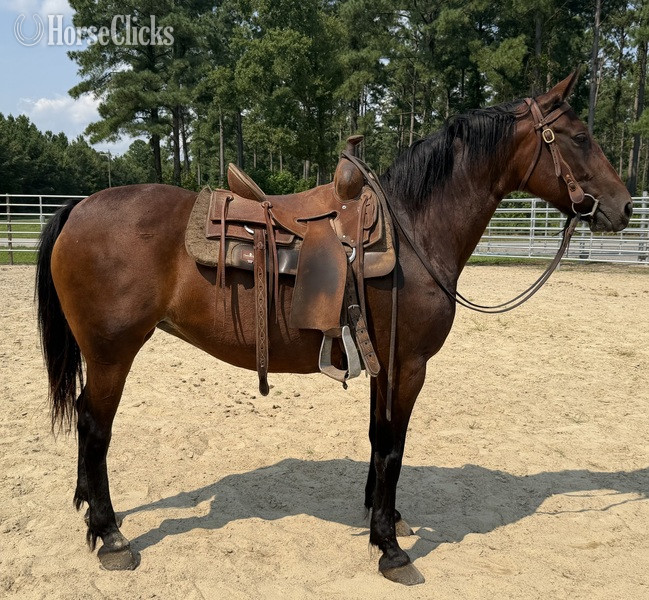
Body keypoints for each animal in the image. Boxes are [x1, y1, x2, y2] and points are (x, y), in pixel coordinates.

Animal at [36, 72, 632, 585]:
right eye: (580, 137)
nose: (624, 207)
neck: (414, 230)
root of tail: (78, 207)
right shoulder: (408, 365)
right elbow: (393, 445)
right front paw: (390, 548)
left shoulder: (382, 362)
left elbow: (377, 439)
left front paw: (384, 516)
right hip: (113, 353)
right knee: (95, 427)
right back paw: (110, 536)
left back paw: (92, 513)